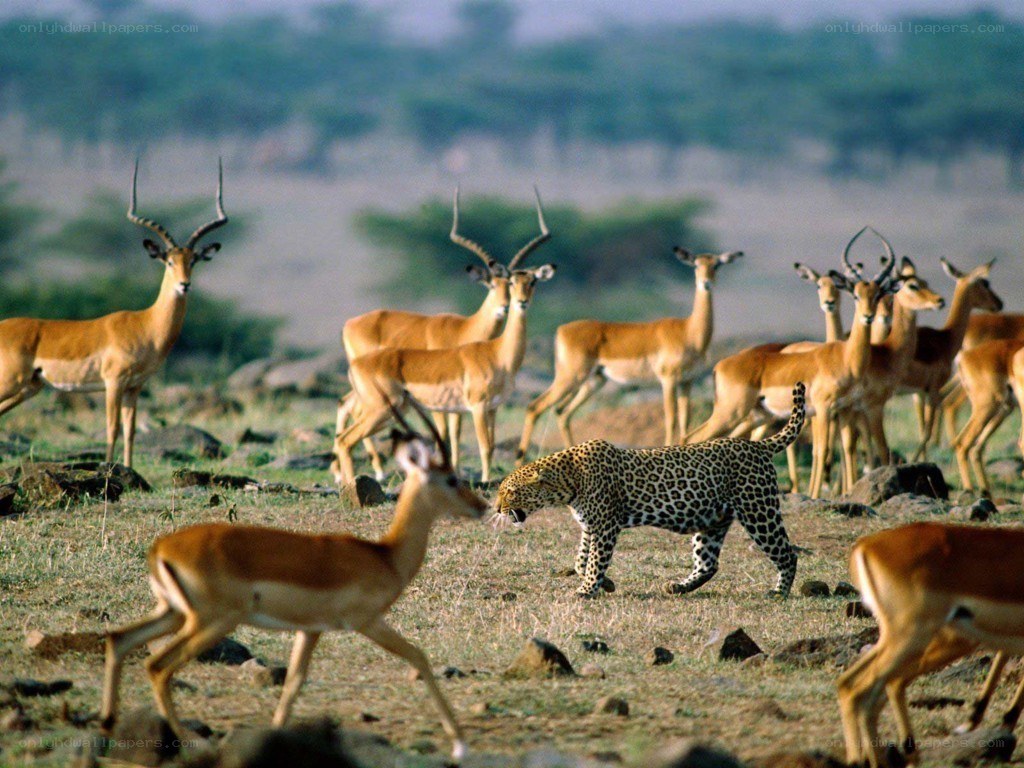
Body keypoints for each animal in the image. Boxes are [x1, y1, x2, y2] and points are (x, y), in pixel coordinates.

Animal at [494, 382, 804, 599]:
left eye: (509, 492)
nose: (496, 509)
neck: (567, 482)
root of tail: (758, 445)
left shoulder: (605, 526)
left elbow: (595, 560)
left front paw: (587, 590)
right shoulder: (590, 526)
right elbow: (582, 560)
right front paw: (604, 584)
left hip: (758, 512)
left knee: (787, 553)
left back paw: (779, 593)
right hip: (713, 520)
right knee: (708, 563)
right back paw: (677, 587)